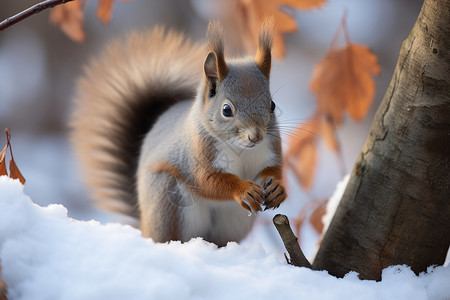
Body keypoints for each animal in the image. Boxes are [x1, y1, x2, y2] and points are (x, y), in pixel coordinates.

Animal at [71, 20, 286, 246]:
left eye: (272, 105)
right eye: (227, 110)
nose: (256, 136)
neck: (241, 148)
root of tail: (144, 225)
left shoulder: (271, 147)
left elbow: (275, 169)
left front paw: (278, 188)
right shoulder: (197, 154)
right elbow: (207, 181)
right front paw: (243, 189)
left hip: (233, 221)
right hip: (168, 200)